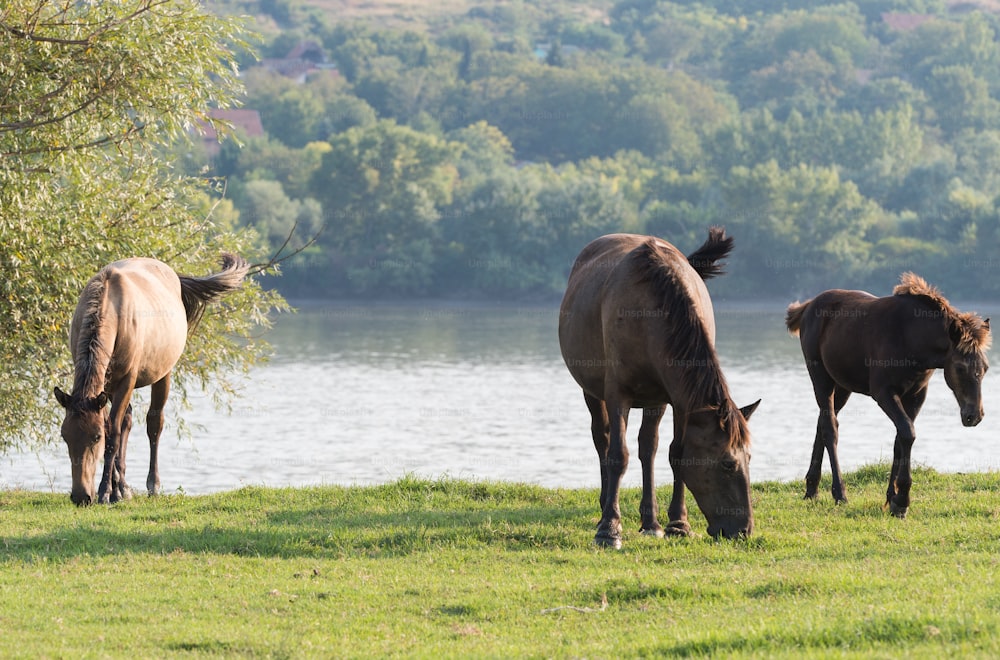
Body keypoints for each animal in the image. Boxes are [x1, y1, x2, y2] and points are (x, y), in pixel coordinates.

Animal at [54, 253, 250, 506]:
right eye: (65, 435)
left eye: (96, 438)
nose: (80, 496)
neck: (111, 309)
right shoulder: (105, 388)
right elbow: (114, 427)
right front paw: (118, 490)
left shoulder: (126, 380)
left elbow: (113, 432)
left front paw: (106, 491)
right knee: (127, 421)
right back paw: (124, 486)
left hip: (163, 374)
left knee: (154, 423)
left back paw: (152, 485)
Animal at [560, 227, 760, 548]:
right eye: (728, 463)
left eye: (749, 458)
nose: (742, 530)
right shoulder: (618, 394)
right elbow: (618, 455)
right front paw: (609, 529)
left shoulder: (676, 400)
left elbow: (675, 453)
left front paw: (677, 523)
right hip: (591, 391)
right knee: (602, 439)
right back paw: (605, 508)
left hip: (653, 401)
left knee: (647, 447)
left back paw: (649, 521)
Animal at [788, 274, 992, 516]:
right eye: (960, 367)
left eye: (985, 367)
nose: (974, 415)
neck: (912, 339)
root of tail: (808, 307)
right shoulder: (883, 392)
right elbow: (907, 433)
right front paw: (902, 500)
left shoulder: (916, 394)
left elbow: (900, 439)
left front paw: (892, 498)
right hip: (821, 377)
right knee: (830, 427)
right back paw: (839, 493)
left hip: (843, 386)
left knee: (822, 422)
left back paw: (812, 489)